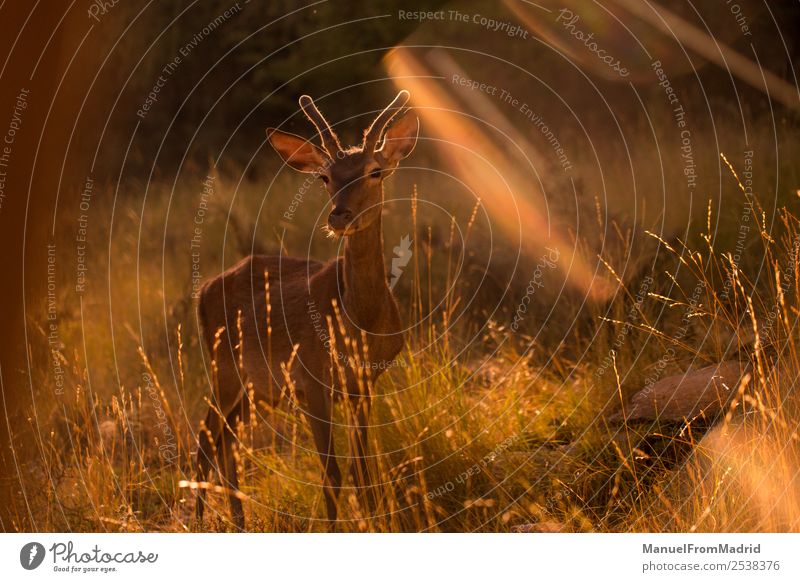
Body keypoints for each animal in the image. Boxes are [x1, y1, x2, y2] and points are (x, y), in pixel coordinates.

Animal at [195, 90, 418, 528]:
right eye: (324, 177)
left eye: (375, 172)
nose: (340, 215)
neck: (360, 322)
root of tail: (203, 290)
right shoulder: (312, 378)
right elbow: (331, 472)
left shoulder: (364, 384)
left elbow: (362, 469)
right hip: (223, 368)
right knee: (205, 439)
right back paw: (197, 520)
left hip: (254, 388)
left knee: (227, 440)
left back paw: (239, 521)